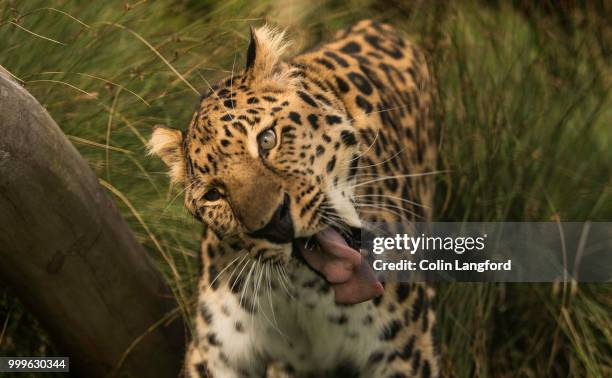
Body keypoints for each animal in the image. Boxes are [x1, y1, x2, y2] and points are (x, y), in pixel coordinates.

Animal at [151, 19, 442, 378]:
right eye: (213, 194)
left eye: (267, 139)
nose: (274, 225)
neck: (305, 289)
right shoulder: (215, 354)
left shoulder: (405, 352)